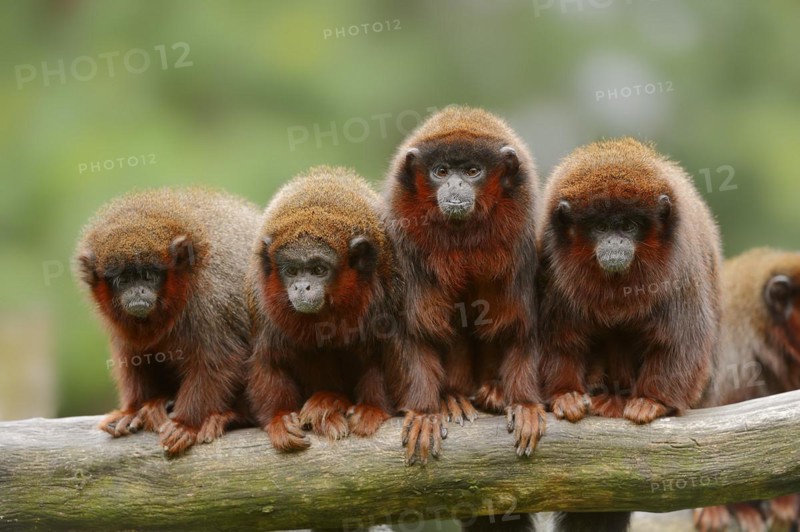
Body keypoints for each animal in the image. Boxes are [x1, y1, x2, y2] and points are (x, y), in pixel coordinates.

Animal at [73, 187, 261, 456]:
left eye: (148, 276)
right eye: (124, 279)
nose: (138, 292)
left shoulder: (212, 297)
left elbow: (217, 360)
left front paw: (185, 424)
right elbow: (133, 354)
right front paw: (132, 410)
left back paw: (229, 416)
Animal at [246, 166, 395, 452]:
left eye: (318, 270)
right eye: (292, 271)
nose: (302, 287)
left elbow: (384, 357)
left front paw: (372, 409)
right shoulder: (261, 304)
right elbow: (269, 361)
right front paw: (279, 419)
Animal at [383, 105, 545, 469]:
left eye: (472, 171)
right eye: (441, 171)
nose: (455, 184)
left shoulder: (520, 240)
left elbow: (522, 323)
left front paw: (525, 403)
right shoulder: (405, 241)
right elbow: (414, 329)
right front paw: (424, 411)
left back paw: (494, 392)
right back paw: (451, 398)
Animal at [537, 138, 722, 532]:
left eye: (627, 225)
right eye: (600, 226)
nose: (614, 242)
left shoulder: (680, 265)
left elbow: (680, 339)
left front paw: (652, 401)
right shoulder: (549, 261)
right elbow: (558, 338)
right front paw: (565, 395)